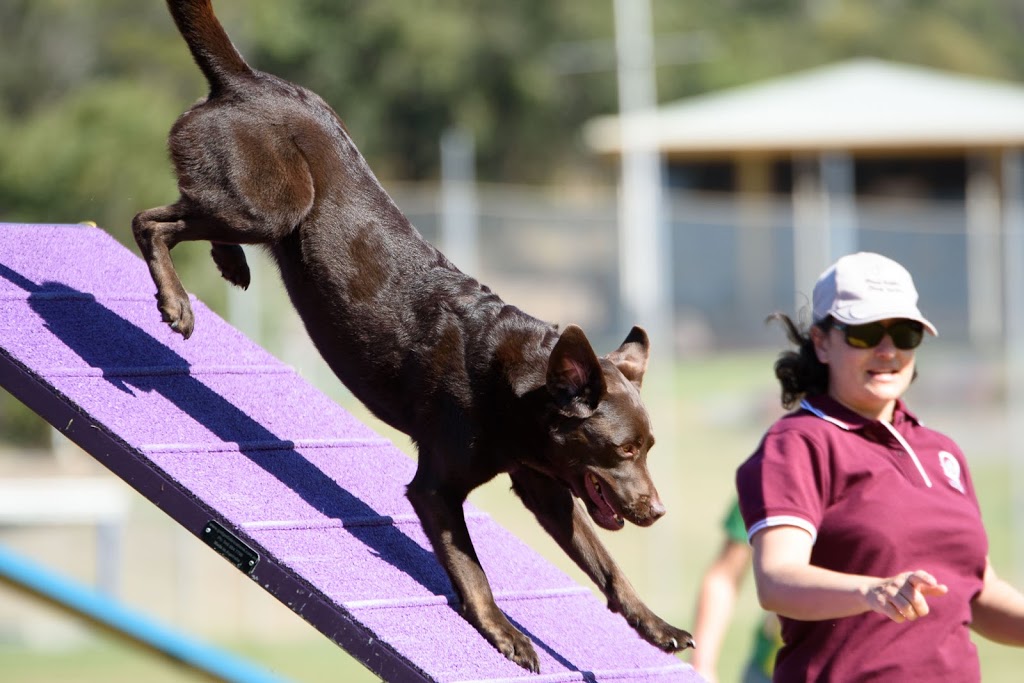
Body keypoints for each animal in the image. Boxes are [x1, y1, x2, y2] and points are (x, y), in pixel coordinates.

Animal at [134, 1, 696, 671]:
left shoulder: (547, 489)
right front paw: (504, 633)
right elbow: (473, 569)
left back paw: (229, 264)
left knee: (190, 215)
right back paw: (177, 301)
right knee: (151, 221)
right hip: (273, 207)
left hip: (260, 206)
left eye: (651, 447)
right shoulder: (436, 489)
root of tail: (242, 80)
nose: (658, 511)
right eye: (624, 450)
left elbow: (610, 568)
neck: (515, 389)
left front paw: (658, 628)